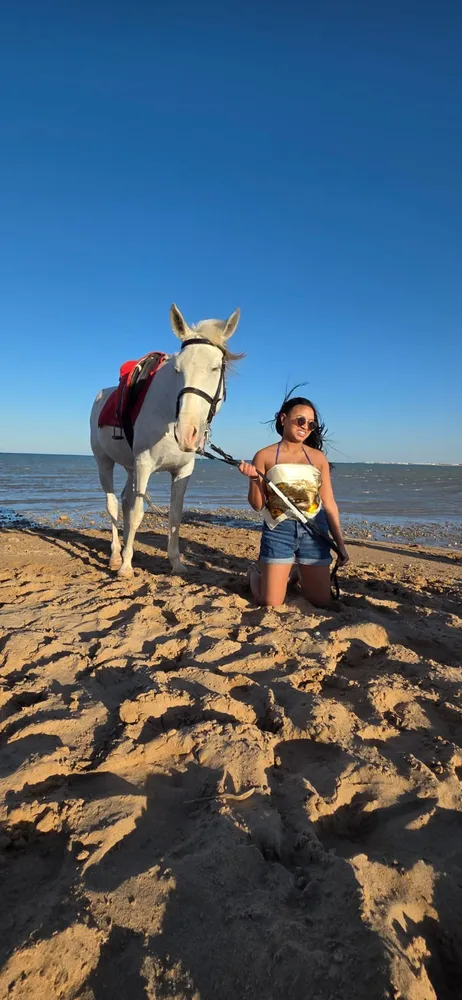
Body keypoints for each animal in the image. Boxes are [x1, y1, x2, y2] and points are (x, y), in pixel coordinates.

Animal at [90, 304, 241, 579]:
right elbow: (138, 513)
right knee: (113, 504)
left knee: (125, 500)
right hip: (104, 462)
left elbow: (175, 516)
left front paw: (176, 563)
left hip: (130, 467)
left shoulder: (182, 471)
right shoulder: (144, 464)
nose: (187, 433)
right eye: (177, 369)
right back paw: (117, 555)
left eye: (216, 367)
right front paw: (126, 567)